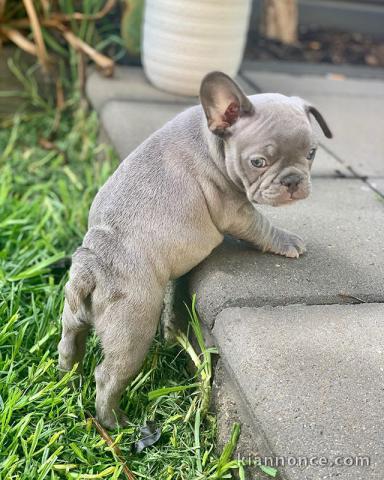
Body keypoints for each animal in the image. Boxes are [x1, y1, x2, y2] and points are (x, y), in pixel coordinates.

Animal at [58, 70, 332, 428]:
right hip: (131, 327)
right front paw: (287, 241)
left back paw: (68, 378)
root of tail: (93, 265)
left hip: (73, 314)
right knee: (108, 375)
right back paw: (116, 421)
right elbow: (262, 227)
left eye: (312, 153)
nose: (292, 181)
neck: (214, 140)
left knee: (69, 343)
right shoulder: (235, 210)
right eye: (258, 162)